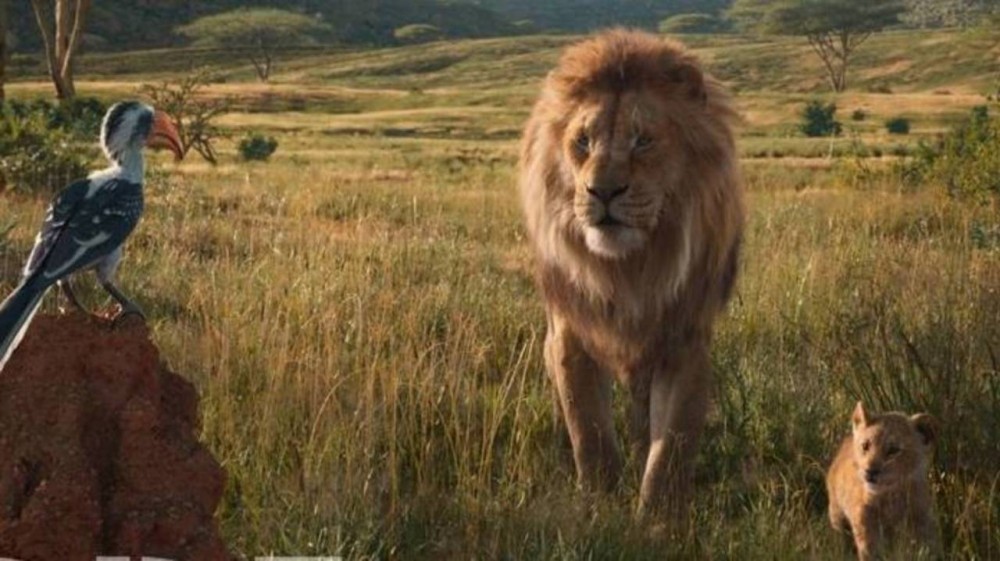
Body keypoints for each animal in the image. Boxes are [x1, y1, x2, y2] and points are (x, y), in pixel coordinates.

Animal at [518, 29, 744, 519]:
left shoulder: (685, 342)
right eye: (583, 141)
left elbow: (670, 448)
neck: (630, 269)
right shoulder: (570, 335)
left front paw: (658, 520)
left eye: (643, 141)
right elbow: (589, 433)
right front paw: (599, 509)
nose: (601, 191)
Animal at [826, 402, 939, 560]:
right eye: (865, 446)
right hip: (837, 513)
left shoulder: (923, 523)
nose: (870, 471)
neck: (891, 497)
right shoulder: (866, 533)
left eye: (893, 450)